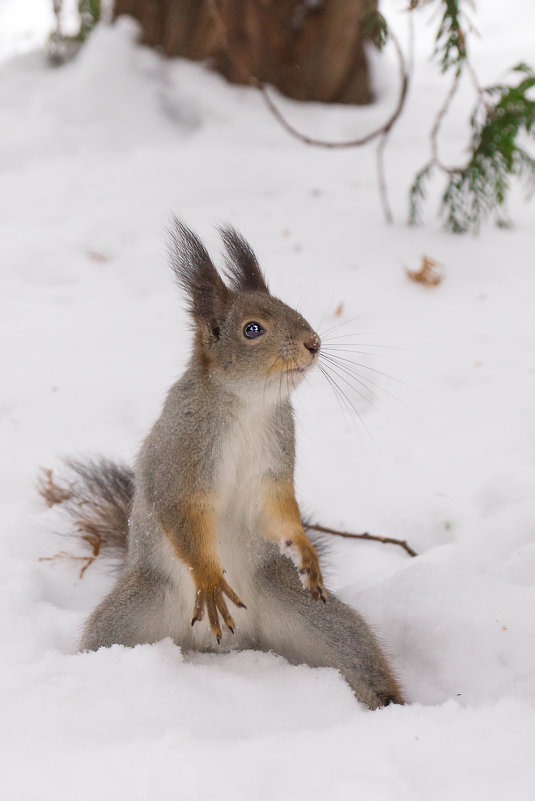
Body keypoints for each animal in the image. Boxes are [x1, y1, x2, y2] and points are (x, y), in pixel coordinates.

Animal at [40, 217, 402, 708]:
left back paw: (388, 702)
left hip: (309, 615)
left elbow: (278, 511)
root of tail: (225, 646)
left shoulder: (273, 466)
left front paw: (304, 548)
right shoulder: (181, 458)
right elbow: (183, 516)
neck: (248, 405)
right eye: (252, 330)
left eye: (291, 307)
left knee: (353, 648)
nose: (313, 343)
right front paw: (210, 578)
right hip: (132, 614)